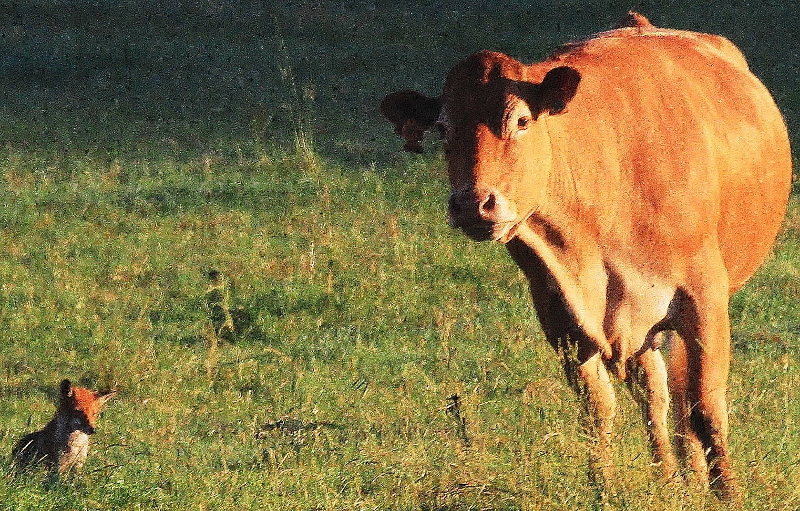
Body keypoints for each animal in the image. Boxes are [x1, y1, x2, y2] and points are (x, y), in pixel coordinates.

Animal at [382, 13, 792, 504]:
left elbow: (707, 407)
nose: (472, 203)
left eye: (521, 120)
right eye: (443, 129)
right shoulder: (558, 308)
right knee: (655, 393)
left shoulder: (704, 297)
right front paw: (605, 491)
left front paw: (728, 494)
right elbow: (598, 409)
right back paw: (670, 479)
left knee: (678, 395)